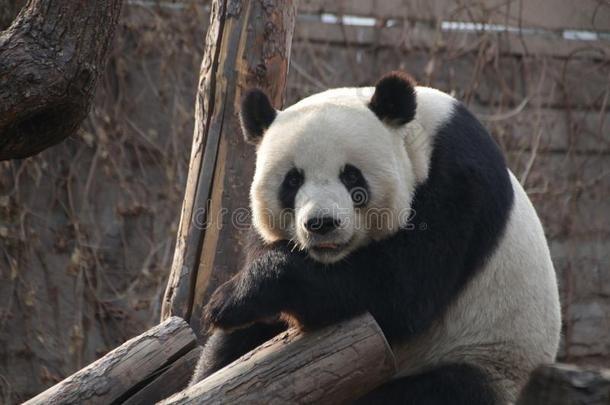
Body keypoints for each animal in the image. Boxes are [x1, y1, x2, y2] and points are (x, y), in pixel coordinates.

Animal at [191, 71, 560, 402]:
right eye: (292, 181)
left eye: (352, 177)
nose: (322, 223)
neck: (420, 139)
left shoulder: (460, 184)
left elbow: (399, 291)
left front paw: (231, 298)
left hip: (485, 356)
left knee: (440, 390)